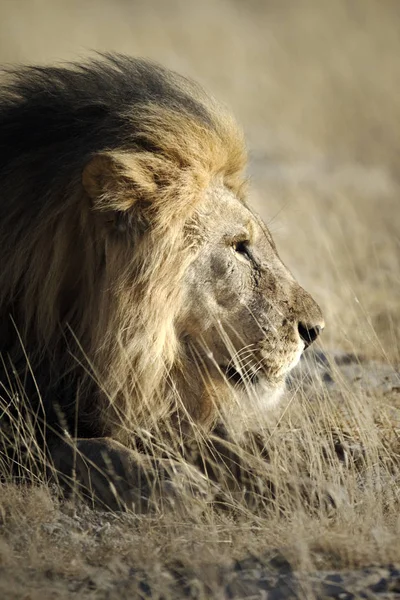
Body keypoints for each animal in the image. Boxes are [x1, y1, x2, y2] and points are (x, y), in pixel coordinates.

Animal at [0, 54, 324, 508]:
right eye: (240, 247)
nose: (315, 331)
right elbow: (88, 448)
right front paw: (174, 481)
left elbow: (224, 448)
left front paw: (300, 486)